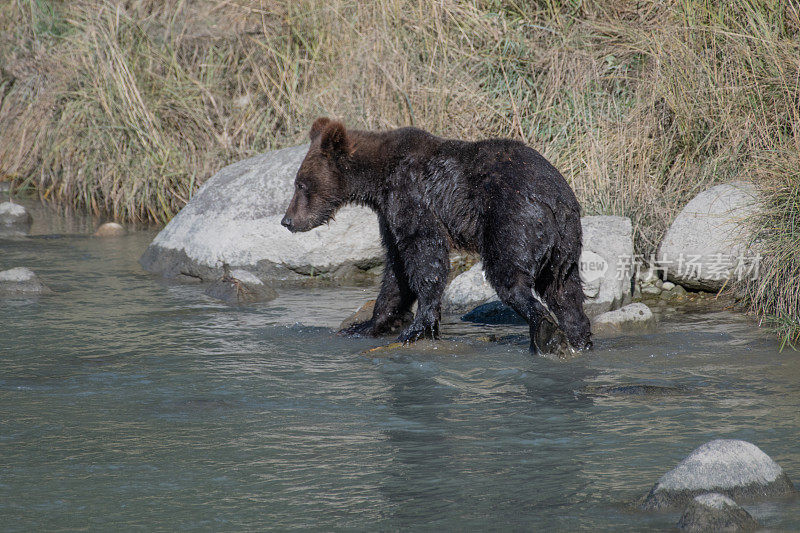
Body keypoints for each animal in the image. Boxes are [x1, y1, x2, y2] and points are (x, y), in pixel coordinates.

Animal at [282, 118, 592, 356]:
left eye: (300, 184)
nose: (287, 221)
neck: (378, 180)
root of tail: (557, 200)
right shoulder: (388, 213)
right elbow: (396, 269)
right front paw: (367, 325)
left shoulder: (410, 194)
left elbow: (425, 254)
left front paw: (417, 327)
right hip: (566, 242)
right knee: (564, 291)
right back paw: (577, 338)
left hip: (513, 218)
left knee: (509, 275)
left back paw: (544, 332)